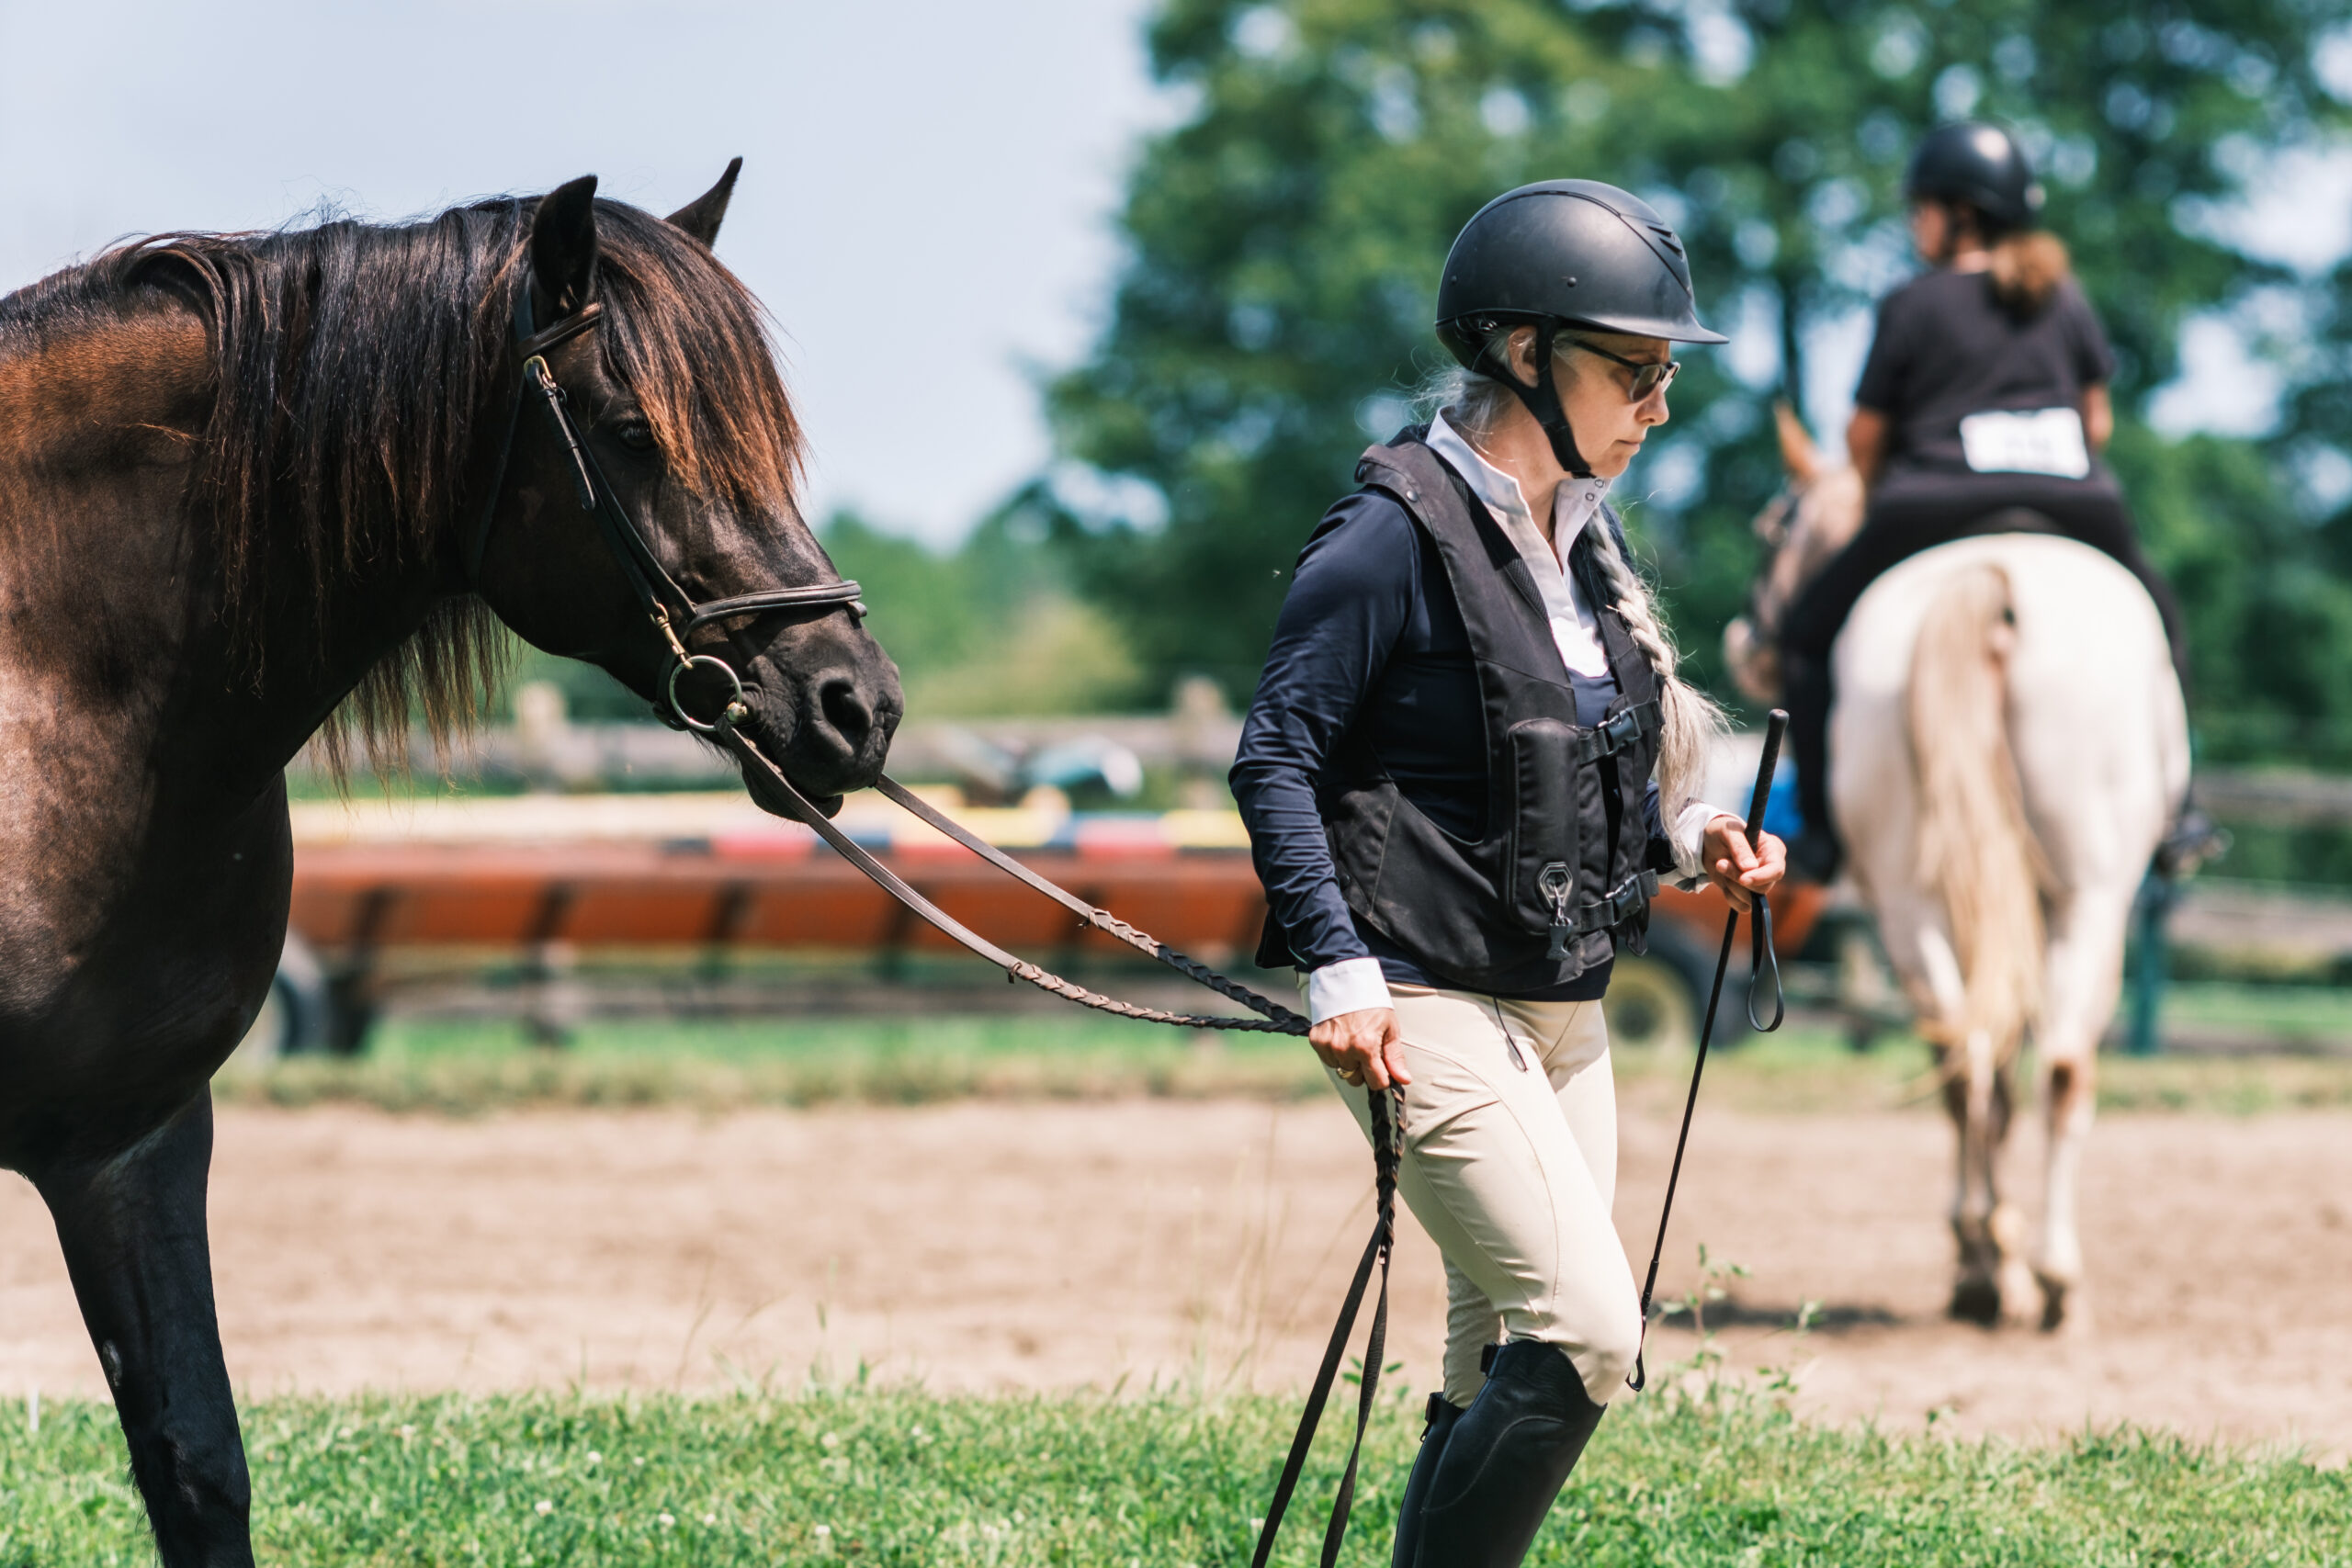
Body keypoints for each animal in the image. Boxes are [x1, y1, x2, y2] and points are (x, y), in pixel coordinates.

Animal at [1724, 412, 2187, 1331]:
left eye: (1772, 528)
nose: (1744, 645)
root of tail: (1991, 570)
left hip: (1942, 904)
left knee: (1989, 1060)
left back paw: (2005, 1262)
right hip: (2067, 901)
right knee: (2031, 1066)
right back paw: (2030, 1271)